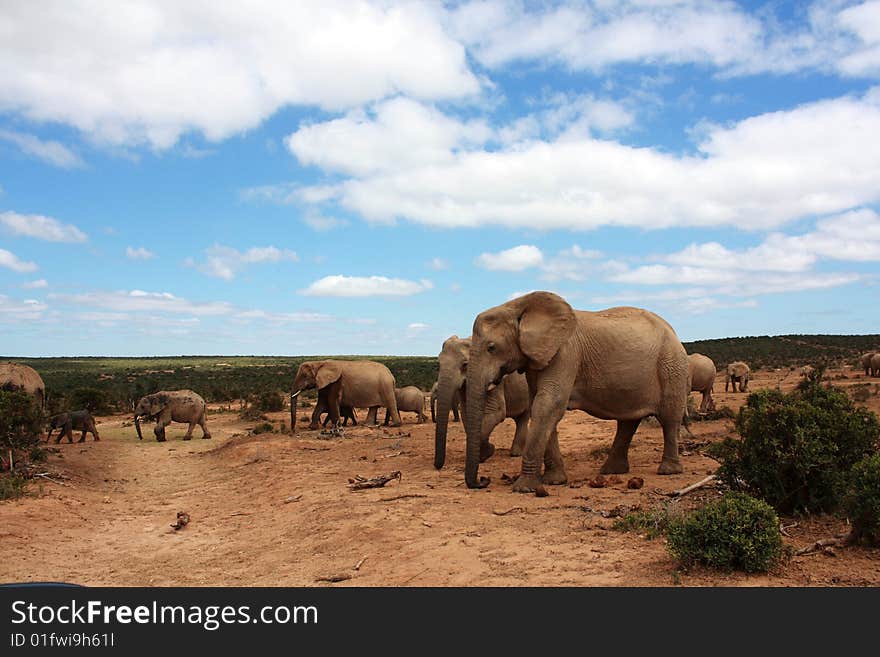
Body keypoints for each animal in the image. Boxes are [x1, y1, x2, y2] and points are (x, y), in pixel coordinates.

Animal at [434, 336, 528, 468]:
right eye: (438, 364)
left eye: (465, 365)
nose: (437, 466)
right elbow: (466, 413)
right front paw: (482, 455)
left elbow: (495, 412)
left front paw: (488, 452)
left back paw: (516, 454)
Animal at [460, 292, 688, 492]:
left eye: (491, 347)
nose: (483, 480)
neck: (518, 305)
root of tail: (673, 330)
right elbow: (540, 406)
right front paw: (554, 481)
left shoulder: (566, 352)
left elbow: (548, 404)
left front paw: (524, 488)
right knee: (628, 422)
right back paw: (611, 471)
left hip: (672, 365)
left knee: (669, 417)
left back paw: (668, 471)